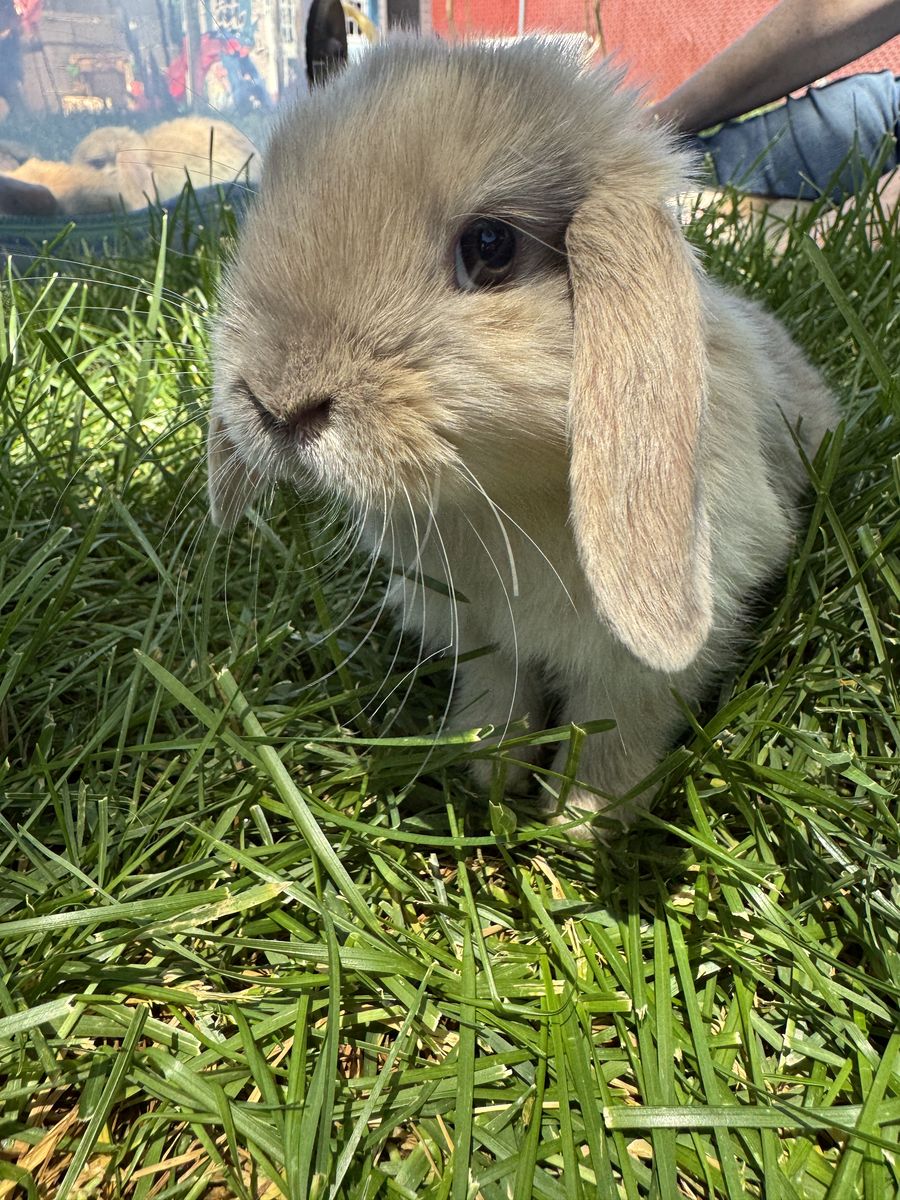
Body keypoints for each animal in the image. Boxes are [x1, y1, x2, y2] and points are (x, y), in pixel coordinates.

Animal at [206, 38, 839, 834]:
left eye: (491, 245)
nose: (276, 405)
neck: (504, 500)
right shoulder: (482, 637)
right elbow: (500, 692)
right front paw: (489, 770)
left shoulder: (643, 667)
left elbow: (618, 728)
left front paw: (579, 821)